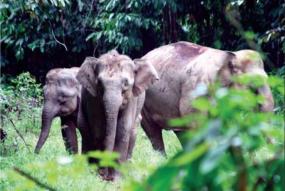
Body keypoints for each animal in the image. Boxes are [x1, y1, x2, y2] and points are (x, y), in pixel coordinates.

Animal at [75, 49, 159, 181]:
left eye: (126, 83)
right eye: (99, 83)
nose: (104, 175)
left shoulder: (132, 99)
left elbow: (123, 129)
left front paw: (116, 179)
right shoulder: (93, 98)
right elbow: (98, 129)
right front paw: (99, 177)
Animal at [141, 41, 274, 154]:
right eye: (253, 87)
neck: (231, 56)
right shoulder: (196, 92)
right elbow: (197, 125)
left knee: (181, 133)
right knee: (153, 132)